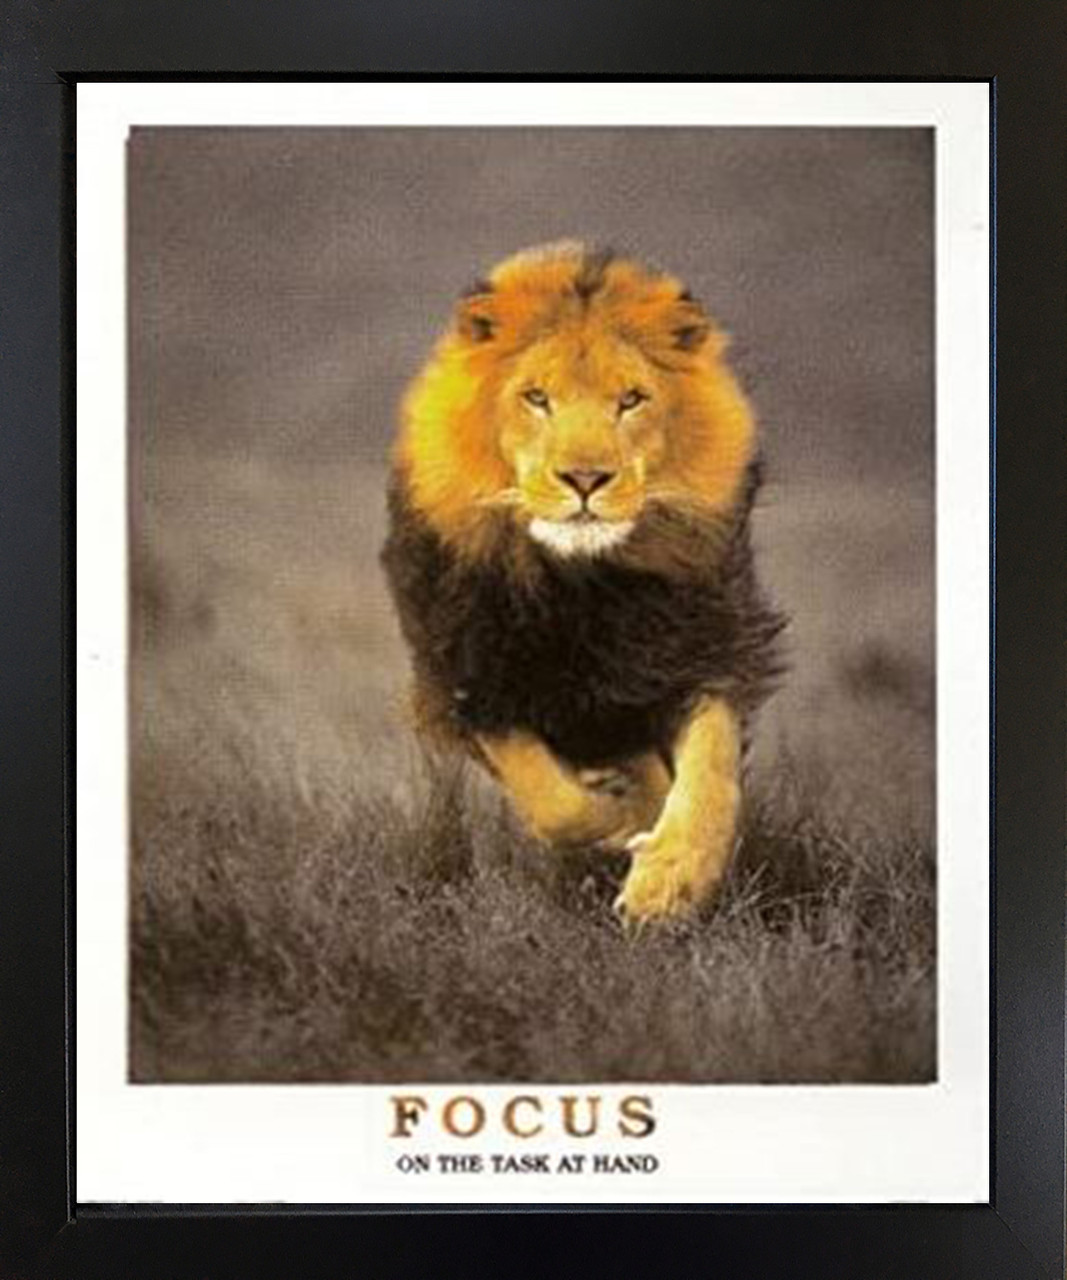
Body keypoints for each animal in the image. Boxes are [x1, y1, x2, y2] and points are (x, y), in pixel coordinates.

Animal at [381, 242, 786, 923]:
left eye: (631, 400)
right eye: (536, 397)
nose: (585, 479)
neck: (582, 588)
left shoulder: (702, 649)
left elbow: (711, 770)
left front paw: (671, 881)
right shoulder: (470, 677)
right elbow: (557, 803)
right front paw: (620, 819)